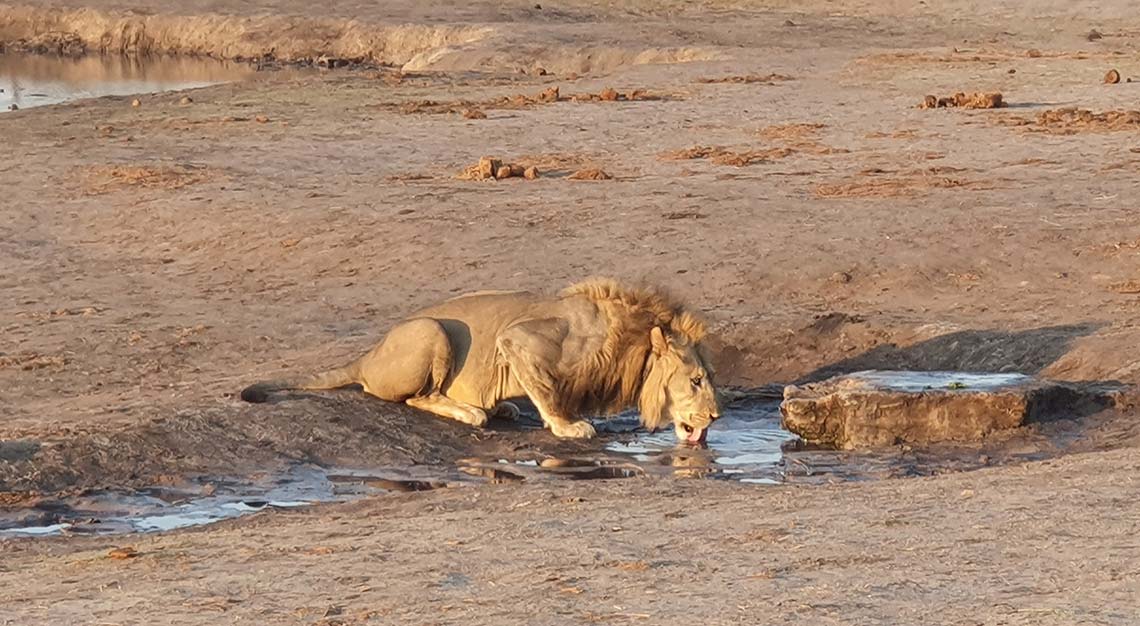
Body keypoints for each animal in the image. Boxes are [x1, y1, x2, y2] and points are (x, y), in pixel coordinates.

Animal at [239, 275, 720, 442]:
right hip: (432, 332)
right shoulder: (519, 339)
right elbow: (547, 393)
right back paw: (473, 411)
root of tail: (366, 357)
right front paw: (569, 426)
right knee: (416, 398)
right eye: (696, 381)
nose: (716, 417)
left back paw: (502, 407)